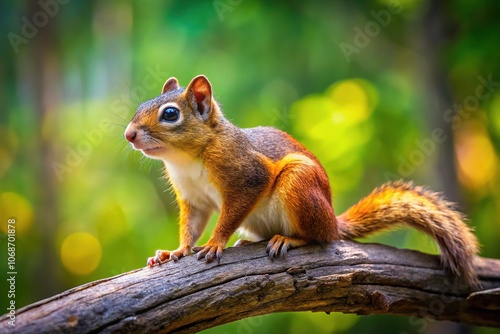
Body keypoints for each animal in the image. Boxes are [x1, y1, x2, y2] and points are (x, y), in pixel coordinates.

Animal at [123, 75, 478, 288]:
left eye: (170, 114)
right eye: (140, 106)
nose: (128, 134)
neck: (186, 158)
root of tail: (333, 219)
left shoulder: (247, 175)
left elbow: (231, 212)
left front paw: (214, 242)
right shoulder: (193, 199)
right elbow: (192, 225)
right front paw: (176, 251)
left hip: (299, 184)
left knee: (320, 237)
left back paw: (289, 240)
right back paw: (249, 242)